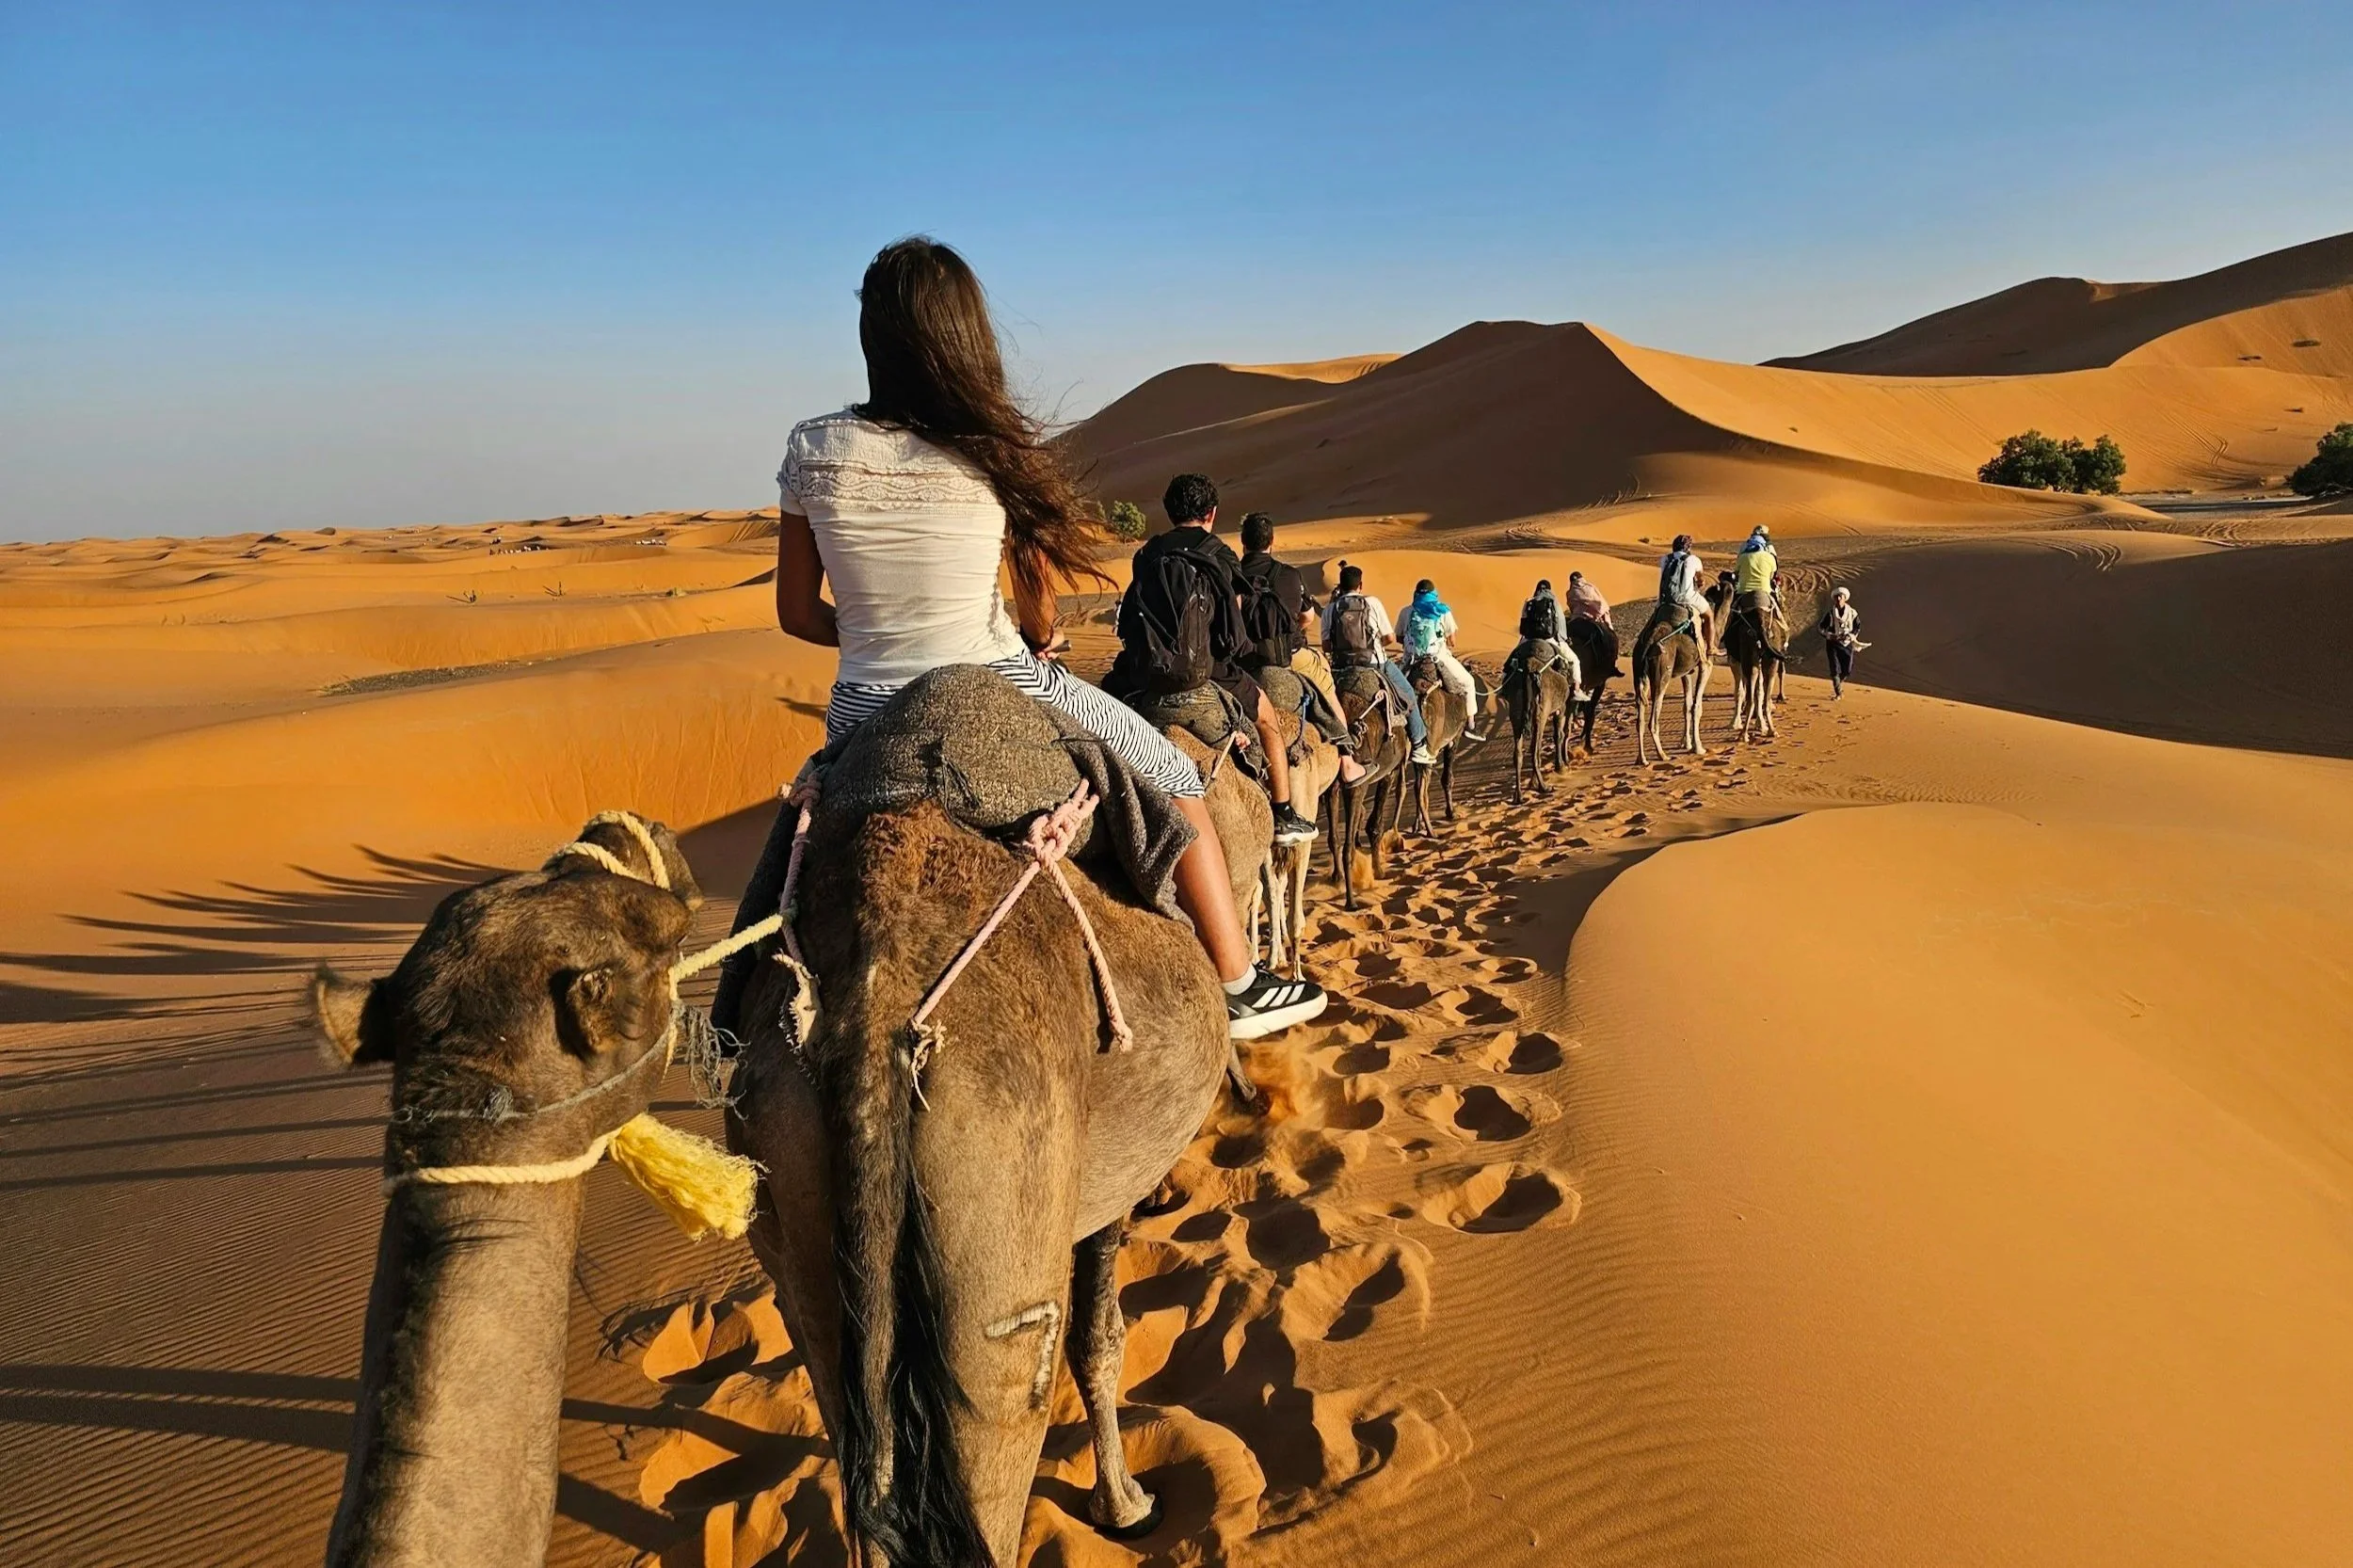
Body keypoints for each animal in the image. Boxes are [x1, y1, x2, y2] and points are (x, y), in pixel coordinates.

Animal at [725, 791, 1230, 1567]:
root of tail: (875, 1005)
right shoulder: (1104, 1191)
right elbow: (1099, 1341)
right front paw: (1127, 1509)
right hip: (1004, 1188)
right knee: (1001, 1423)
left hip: (790, 1195)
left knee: (862, 1457)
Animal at [1500, 639, 1573, 802]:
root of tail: (1528, 669)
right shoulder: (1561, 708)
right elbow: (1558, 735)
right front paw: (1561, 767)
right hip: (1542, 712)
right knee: (1535, 749)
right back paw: (1544, 787)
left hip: (1516, 711)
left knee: (1519, 753)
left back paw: (1518, 796)